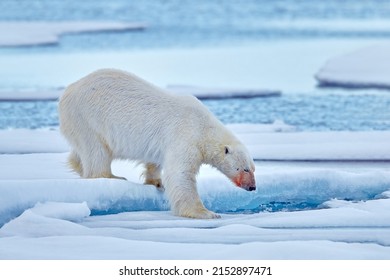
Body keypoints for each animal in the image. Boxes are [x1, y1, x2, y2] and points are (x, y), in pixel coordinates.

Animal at [58, 69, 256, 220]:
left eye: (253, 169)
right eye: (244, 169)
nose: (253, 187)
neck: (204, 127)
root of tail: (67, 92)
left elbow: (156, 161)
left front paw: (156, 182)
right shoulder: (186, 136)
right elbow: (180, 175)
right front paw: (206, 213)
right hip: (87, 117)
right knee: (96, 151)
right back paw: (112, 176)